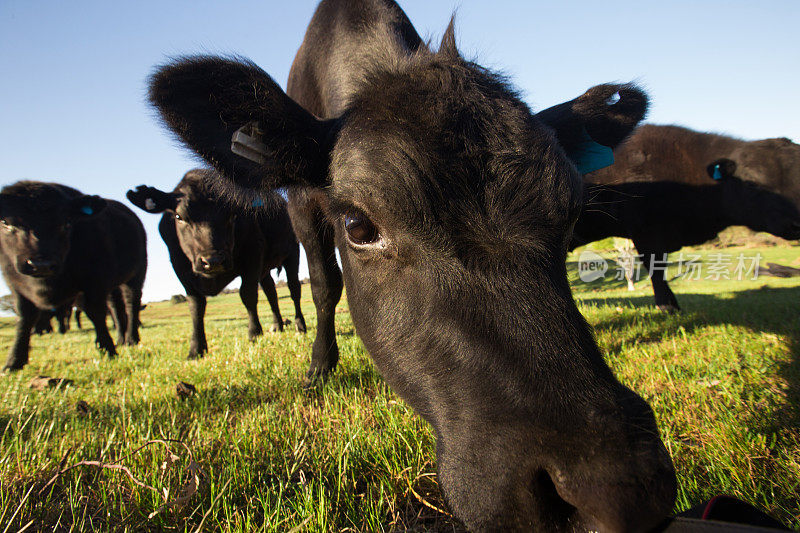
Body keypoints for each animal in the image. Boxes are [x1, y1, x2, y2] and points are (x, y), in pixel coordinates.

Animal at [0, 181, 147, 368]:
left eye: (66, 223)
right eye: (5, 222)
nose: (41, 265)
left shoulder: (95, 280)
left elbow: (96, 313)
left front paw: (108, 349)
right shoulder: (14, 284)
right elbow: (25, 317)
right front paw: (14, 361)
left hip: (136, 275)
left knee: (130, 304)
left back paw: (131, 338)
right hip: (113, 286)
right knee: (115, 307)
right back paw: (121, 338)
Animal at [128, 168, 306, 360]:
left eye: (232, 215)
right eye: (179, 216)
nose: (213, 261)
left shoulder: (253, 254)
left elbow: (247, 295)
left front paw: (254, 333)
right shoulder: (180, 268)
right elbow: (196, 305)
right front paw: (196, 348)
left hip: (292, 253)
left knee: (294, 289)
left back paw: (300, 325)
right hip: (265, 270)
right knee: (271, 292)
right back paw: (278, 326)